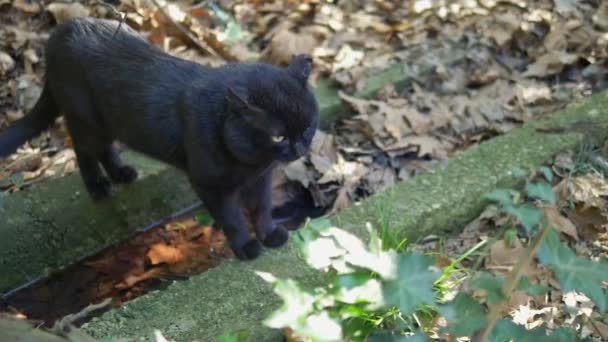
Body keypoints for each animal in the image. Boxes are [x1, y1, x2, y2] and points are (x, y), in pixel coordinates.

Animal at [0, 18, 320, 260]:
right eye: (278, 136)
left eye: (307, 128)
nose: (300, 147)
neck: (250, 163)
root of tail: (59, 33)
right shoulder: (211, 185)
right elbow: (232, 218)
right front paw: (246, 247)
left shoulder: (261, 178)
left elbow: (261, 208)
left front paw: (270, 234)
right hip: (85, 120)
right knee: (84, 149)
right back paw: (98, 186)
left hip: (112, 122)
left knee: (105, 148)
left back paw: (122, 173)